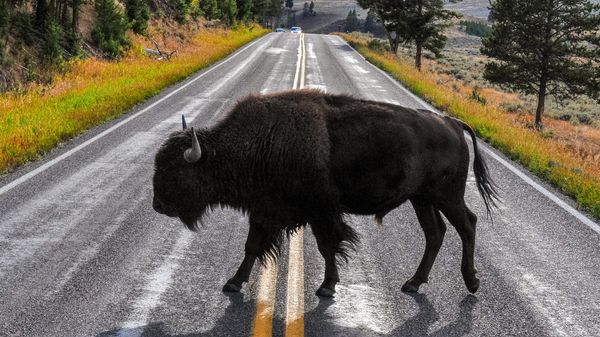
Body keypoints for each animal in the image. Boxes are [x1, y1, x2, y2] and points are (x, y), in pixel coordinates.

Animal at [154, 89, 496, 296]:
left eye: (176, 170)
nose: (158, 205)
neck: (262, 141)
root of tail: (452, 123)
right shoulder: (264, 211)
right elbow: (252, 247)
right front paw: (233, 283)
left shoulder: (320, 212)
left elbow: (327, 246)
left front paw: (327, 287)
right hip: (421, 198)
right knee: (435, 232)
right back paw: (413, 283)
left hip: (446, 195)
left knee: (467, 224)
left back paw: (472, 282)